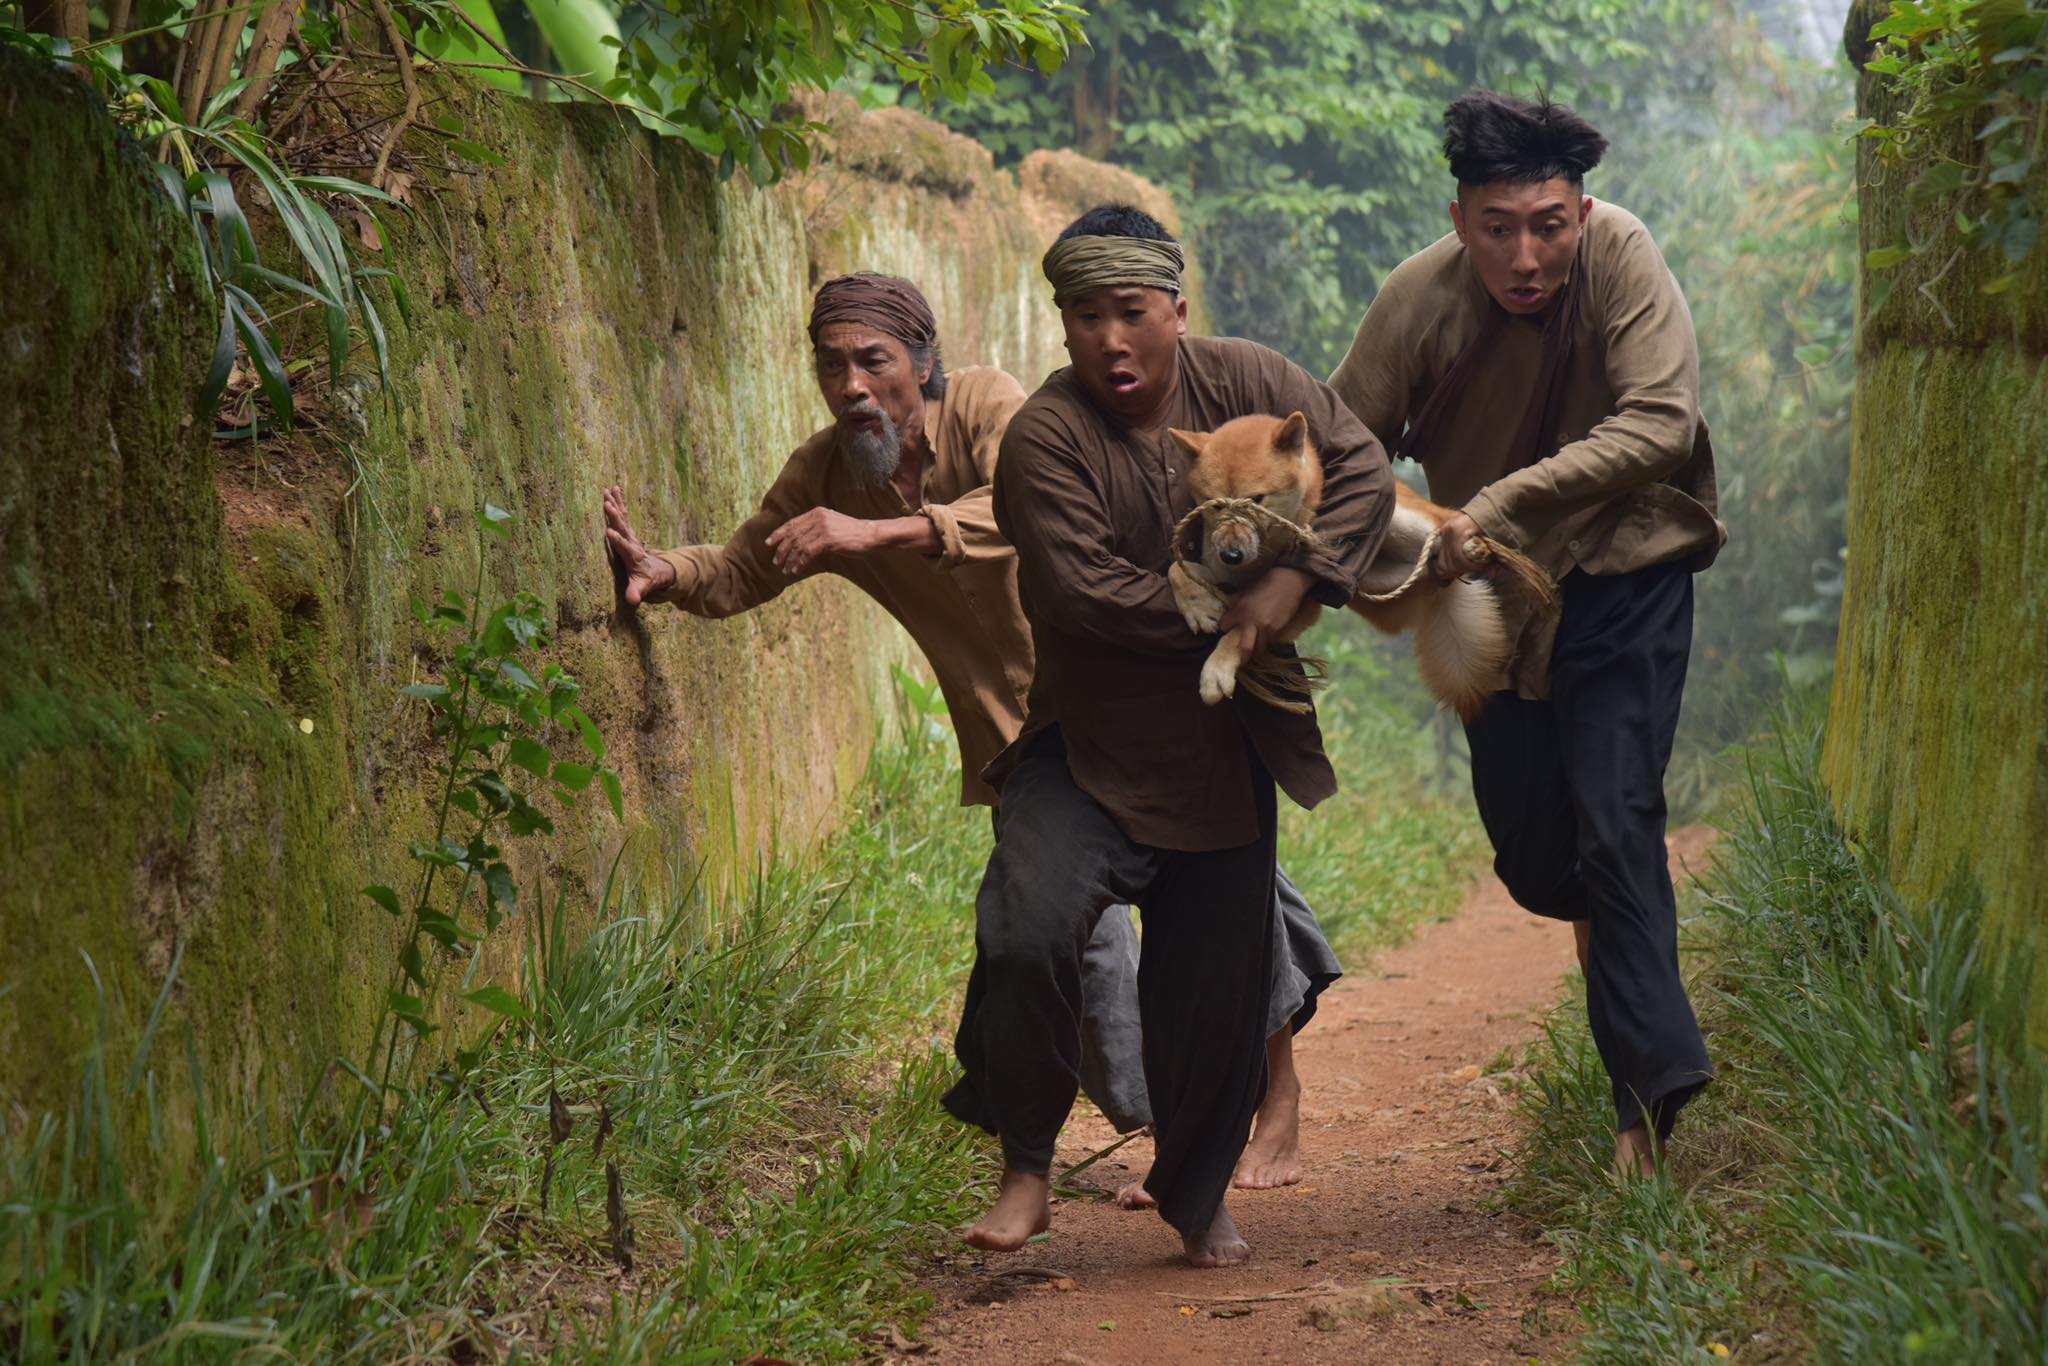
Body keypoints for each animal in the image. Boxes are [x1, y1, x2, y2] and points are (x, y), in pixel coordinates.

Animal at [1171, 413, 1548, 716]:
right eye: (1214, 504)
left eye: (1256, 500)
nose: (1231, 555)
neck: (1263, 556)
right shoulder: (1221, 570)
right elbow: (1177, 570)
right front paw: (1198, 607)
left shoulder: (1293, 606)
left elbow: (1240, 630)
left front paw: (1216, 669)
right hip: (1375, 582)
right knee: (1427, 571)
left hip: (1404, 522)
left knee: (1445, 524)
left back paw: (1474, 547)